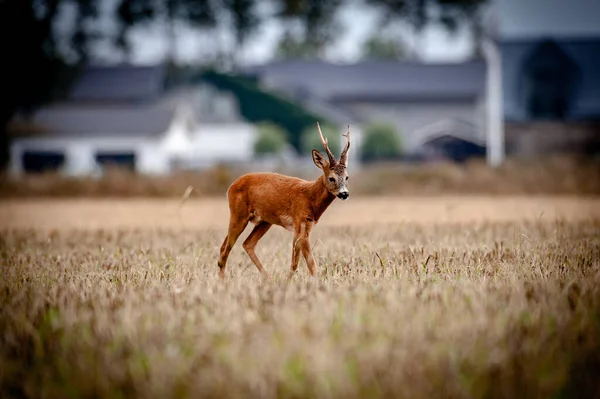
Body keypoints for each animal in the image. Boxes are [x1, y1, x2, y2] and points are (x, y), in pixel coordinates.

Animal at [218, 122, 352, 282]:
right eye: (332, 178)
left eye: (347, 177)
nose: (344, 193)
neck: (311, 197)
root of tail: (230, 187)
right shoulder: (300, 221)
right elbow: (310, 263)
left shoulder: (304, 226)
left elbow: (295, 262)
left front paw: (288, 281)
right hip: (239, 214)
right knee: (225, 250)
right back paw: (224, 280)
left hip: (264, 221)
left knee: (245, 244)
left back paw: (268, 278)